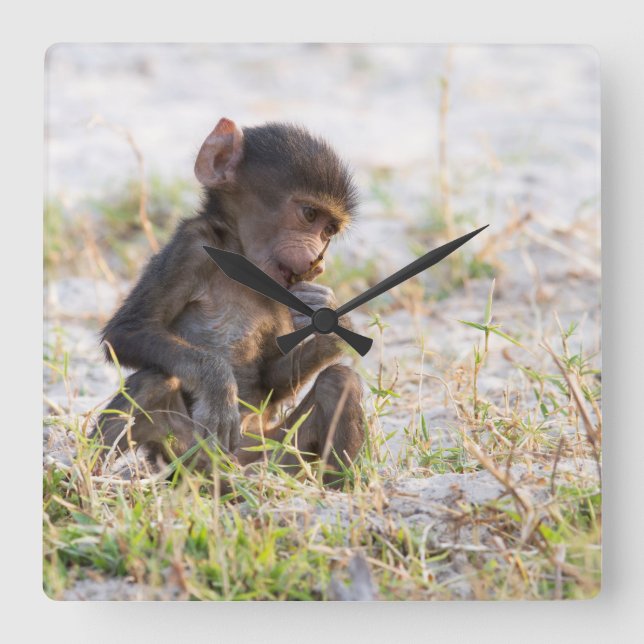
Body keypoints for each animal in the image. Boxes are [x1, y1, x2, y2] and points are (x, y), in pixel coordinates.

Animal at [94, 118, 365, 481]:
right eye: (309, 215)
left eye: (329, 231)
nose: (317, 264)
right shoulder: (191, 247)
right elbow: (126, 331)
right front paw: (219, 387)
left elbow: (271, 378)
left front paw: (332, 322)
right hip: (187, 455)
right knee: (151, 382)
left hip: (277, 451)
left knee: (339, 381)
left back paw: (334, 486)